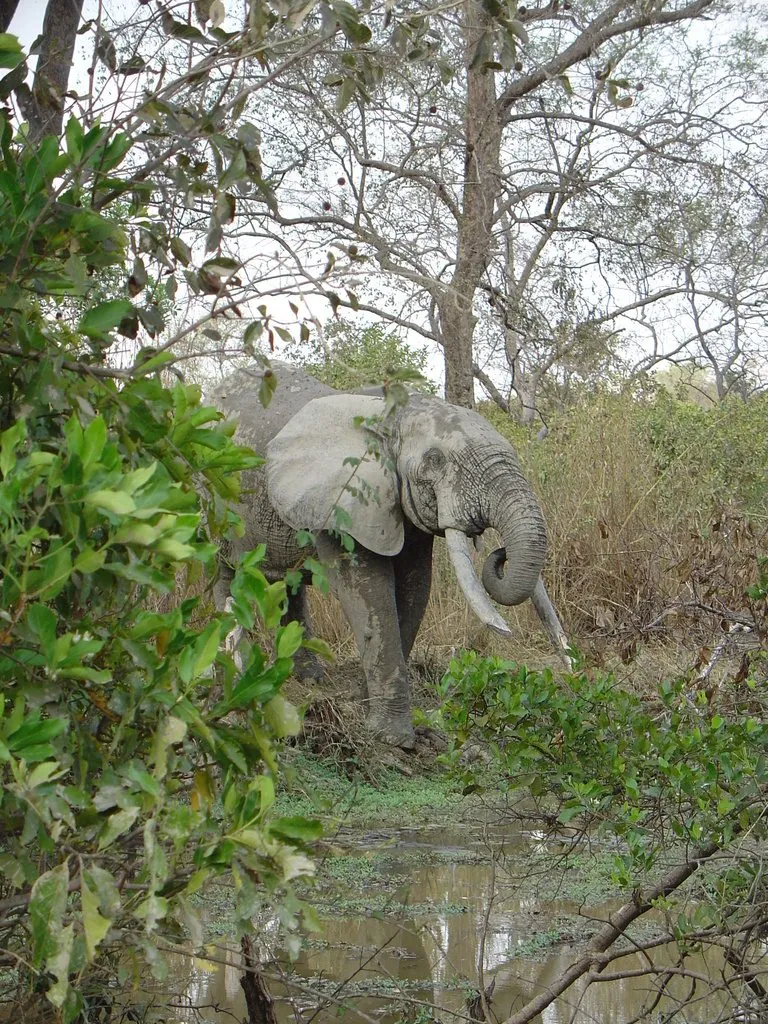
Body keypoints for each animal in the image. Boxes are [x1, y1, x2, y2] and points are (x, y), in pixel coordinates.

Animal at [209, 362, 568, 749]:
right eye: (435, 460)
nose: (498, 552)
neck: (392, 414)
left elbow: (415, 588)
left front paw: (361, 701)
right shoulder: (344, 499)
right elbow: (369, 592)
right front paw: (393, 739)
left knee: (288, 587)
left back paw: (310, 677)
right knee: (224, 576)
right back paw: (234, 670)